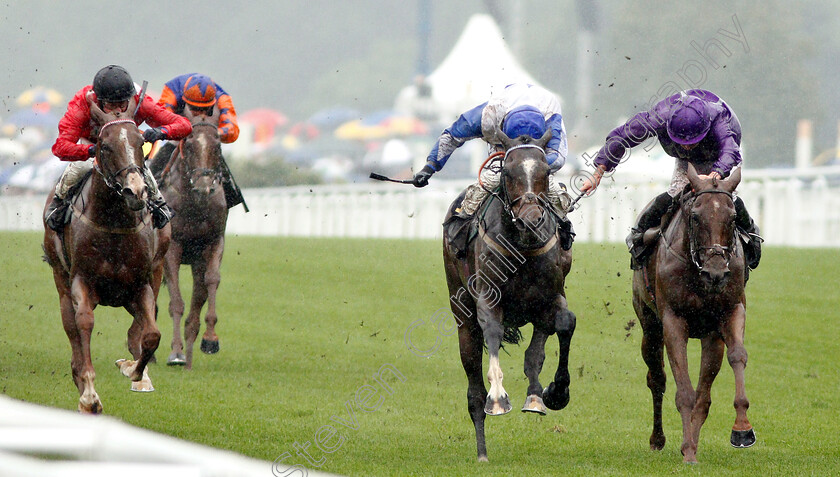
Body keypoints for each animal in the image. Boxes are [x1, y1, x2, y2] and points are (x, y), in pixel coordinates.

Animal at [43, 96, 170, 412]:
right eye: (105, 145)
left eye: (141, 141)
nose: (136, 191)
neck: (113, 223)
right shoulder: (82, 282)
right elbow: (84, 323)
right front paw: (89, 395)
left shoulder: (140, 284)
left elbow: (152, 334)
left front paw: (133, 369)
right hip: (61, 282)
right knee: (72, 329)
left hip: (156, 269)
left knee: (141, 326)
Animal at [156, 105, 228, 368]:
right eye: (188, 143)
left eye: (217, 145)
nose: (203, 186)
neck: (195, 204)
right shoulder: (173, 247)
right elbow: (176, 302)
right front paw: (176, 352)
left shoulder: (213, 241)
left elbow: (211, 281)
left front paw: (210, 339)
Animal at [440, 130, 576, 462]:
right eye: (508, 172)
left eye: (546, 171)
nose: (531, 219)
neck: (521, 247)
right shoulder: (488, 299)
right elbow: (493, 332)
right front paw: (499, 397)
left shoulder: (550, 297)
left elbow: (562, 326)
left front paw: (554, 393)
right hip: (460, 310)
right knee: (473, 387)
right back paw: (482, 450)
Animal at [636, 164, 756, 462]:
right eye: (695, 216)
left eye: (733, 217)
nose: (716, 272)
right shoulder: (673, 321)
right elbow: (684, 391)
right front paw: (688, 450)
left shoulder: (730, 311)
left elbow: (737, 357)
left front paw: (742, 429)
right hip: (649, 325)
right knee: (657, 379)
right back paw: (658, 439)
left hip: (710, 336)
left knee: (704, 392)